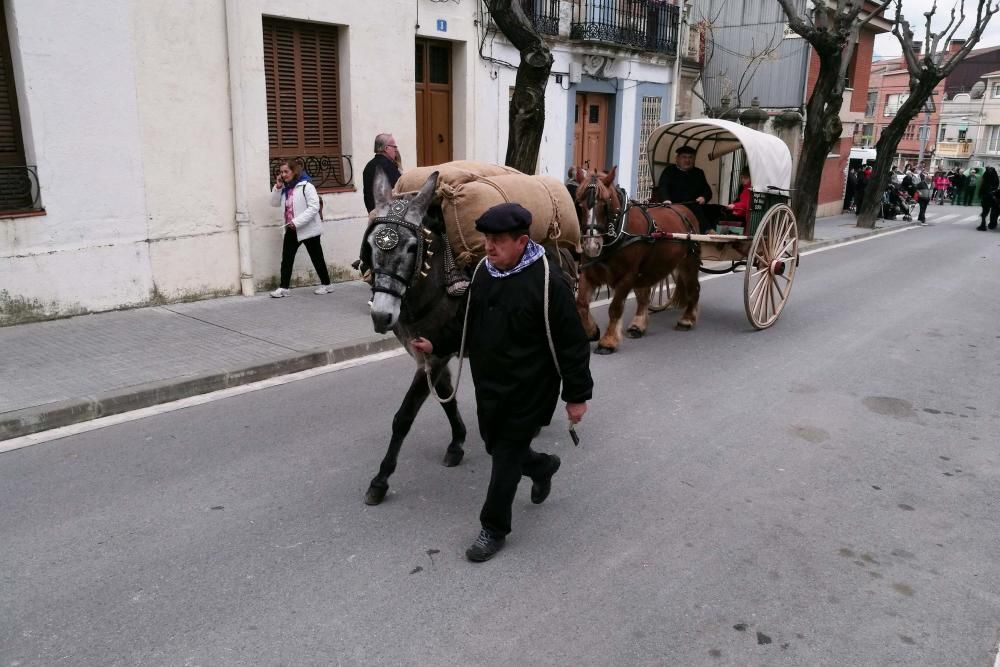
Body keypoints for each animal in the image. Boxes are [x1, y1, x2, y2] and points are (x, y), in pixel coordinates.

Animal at [576, 167, 700, 354]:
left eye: (605, 204)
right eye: (580, 205)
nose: (592, 246)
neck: (620, 230)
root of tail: (685, 210)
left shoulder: (627, 276)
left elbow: (615, 307)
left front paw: (608, 341)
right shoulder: (589, 273)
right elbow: (582, 303)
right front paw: (592, 331)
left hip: (688, 263)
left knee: (693, 288)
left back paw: (686, 320)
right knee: (644, 295)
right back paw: (638, 325)